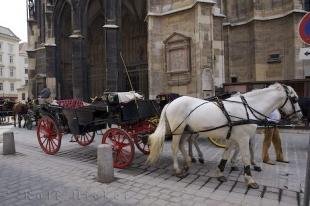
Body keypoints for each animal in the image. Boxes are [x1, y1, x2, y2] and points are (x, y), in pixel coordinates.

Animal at [148, 83, 302, 188]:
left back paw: (188, 162)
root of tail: (170, 103)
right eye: (294, 99)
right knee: (174, 147)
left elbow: (227, 154)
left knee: (182, 144)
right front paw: (250, 179)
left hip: (187, 130)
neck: (248, 108)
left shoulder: (233, 138)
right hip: (178, 130)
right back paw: (178, 169)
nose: (300, 116)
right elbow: (245, 156)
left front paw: (221, 173)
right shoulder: (243, 138)